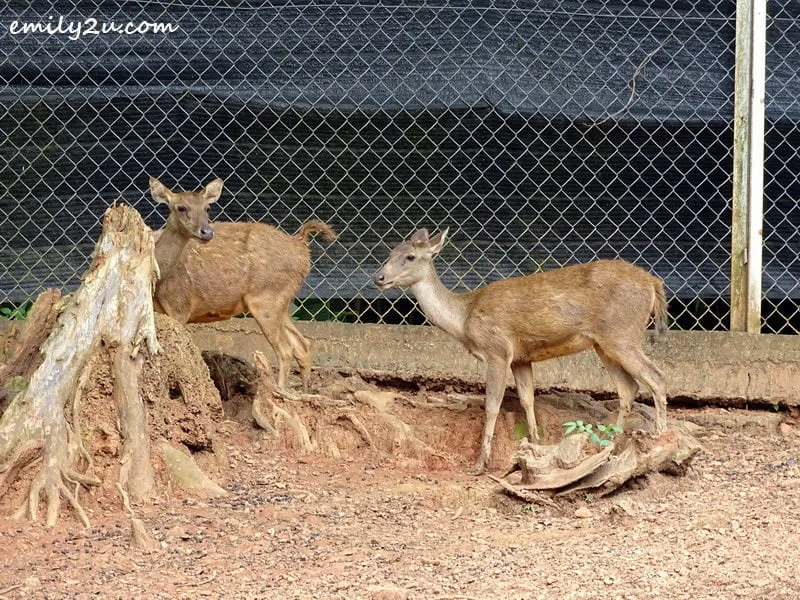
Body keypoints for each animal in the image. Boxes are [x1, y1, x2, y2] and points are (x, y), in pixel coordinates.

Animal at [149, 176, 337, 391]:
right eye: (181, 207)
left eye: (207, 208)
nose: (206, 232)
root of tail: (301, 246)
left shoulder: (179, 304)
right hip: (283, 302)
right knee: (302, 344)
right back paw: (303, 393)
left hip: (266, 298)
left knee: (286, 349)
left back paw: (280, 391)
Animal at [374, 228, 668, 475]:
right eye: (390, 251)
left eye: (410, 256)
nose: (379, 278)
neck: (464, 318)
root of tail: (653, 282)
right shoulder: (521, 358)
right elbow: (528, 399)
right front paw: (536, 445)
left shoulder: (497, 350)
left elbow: (492, 405)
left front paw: (480, 464)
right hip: (604, 343)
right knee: (628, 387)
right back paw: (611, 441)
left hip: (622, 334)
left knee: (656, 376)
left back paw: (659, 435)